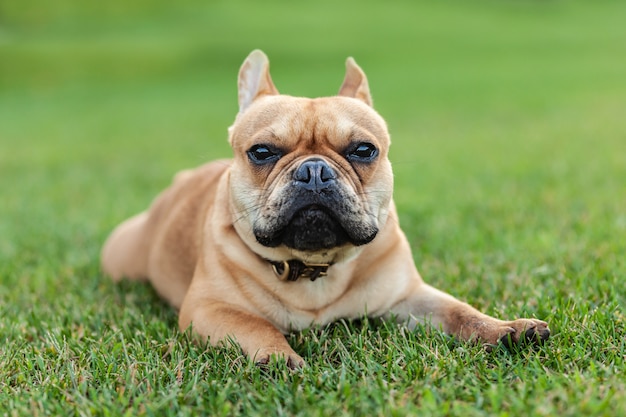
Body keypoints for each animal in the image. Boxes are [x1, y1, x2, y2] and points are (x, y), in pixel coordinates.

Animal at [101, 49, 544, 368]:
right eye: (261, 152)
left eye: (363, 150)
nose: (314, 171)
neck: (313, 266)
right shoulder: (209, 309)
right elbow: (254, 326)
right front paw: (279, 358)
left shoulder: (409, 298)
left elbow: (459, 311)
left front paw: (506, 328)